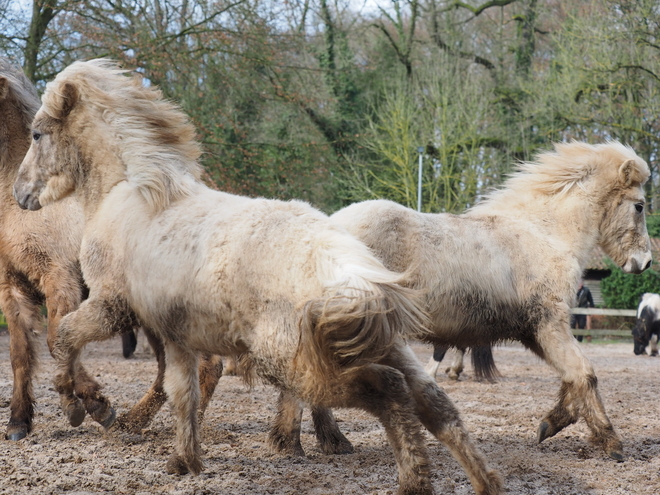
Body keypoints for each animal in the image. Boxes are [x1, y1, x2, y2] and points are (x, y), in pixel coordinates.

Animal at [11, 61, 500, 495]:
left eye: (37, 133)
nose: (20, 195)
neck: (132, 196)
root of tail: (349, 267)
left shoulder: (114, 305)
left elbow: (64, 336)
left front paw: (83, 405)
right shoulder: (176, 336)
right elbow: (183, 392)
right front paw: (183, 461)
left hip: (294, 361)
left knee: (389, 392)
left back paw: (413, 482)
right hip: (382, 345)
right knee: (435, 404)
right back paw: (484, 482)